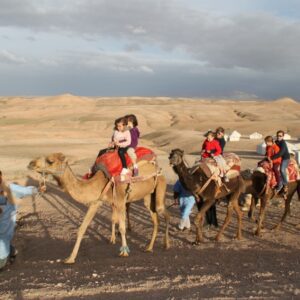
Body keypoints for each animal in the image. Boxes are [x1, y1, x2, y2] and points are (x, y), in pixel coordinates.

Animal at [27, 154, 171, 264]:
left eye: (50, 161)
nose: (31, 163)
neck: (98, 182)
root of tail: (157, 168)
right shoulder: (95, 202)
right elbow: (82, 228)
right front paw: (70, 258)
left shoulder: (120, 201)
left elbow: (122, 228)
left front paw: (124, 252)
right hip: (148, 196)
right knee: (155, 219)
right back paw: (149, 247)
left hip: (160, 185)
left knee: (164, 213)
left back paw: (167, 244)